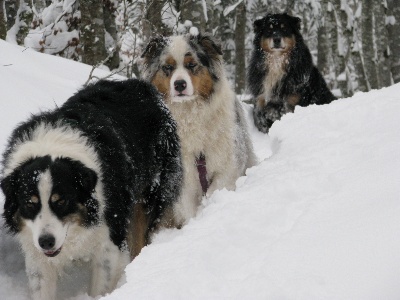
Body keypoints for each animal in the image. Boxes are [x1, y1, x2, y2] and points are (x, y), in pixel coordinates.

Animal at [0, 78, 182, 298]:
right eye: (29, 203)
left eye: (62, 201)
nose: (46, 242)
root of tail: (139, 84)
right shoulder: (37, 252)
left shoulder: (109, 239)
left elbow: (100, 286)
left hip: (150, 195)